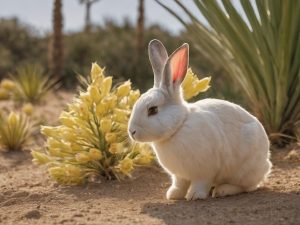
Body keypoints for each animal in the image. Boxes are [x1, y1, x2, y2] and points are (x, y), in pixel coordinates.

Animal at [127, 39, 274, 200]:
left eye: (153, 110)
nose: (132, 131)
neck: (179, 126)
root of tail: (266, 163)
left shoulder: (205, 171)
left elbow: (201, 183)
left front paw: (194, 195)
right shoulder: (179, 175)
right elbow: (179, 184)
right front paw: (173, 194)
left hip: (244, 171)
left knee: (247, 186)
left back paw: (222, 190)